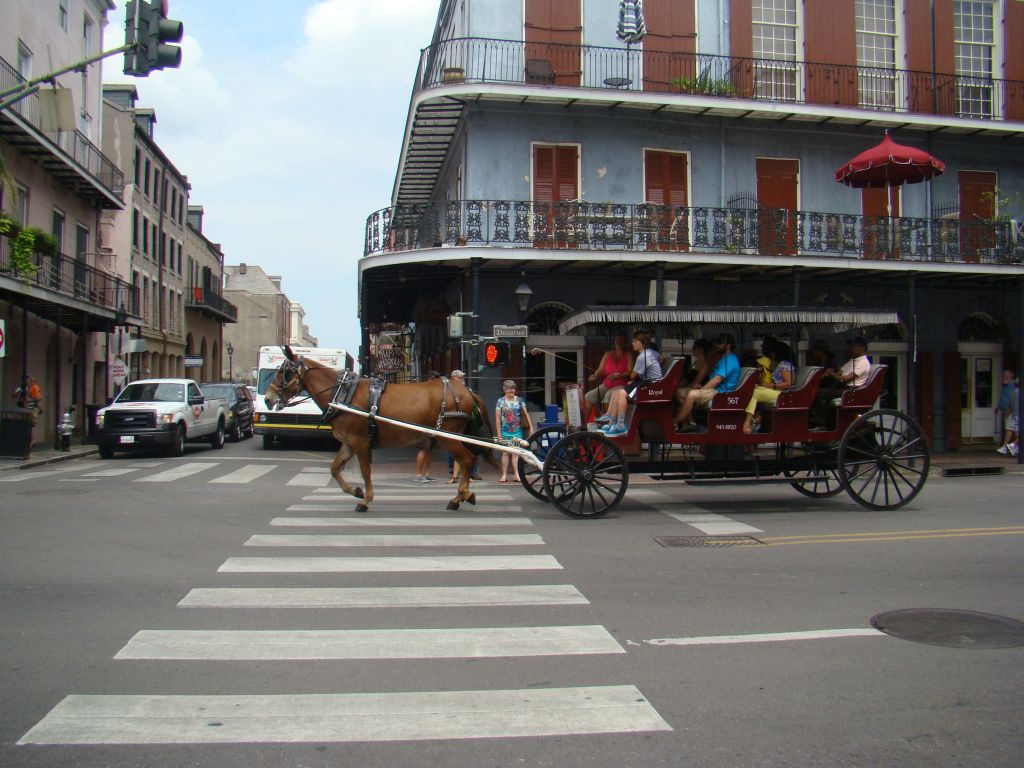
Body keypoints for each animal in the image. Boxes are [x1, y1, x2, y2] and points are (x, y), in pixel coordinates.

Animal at [264, 348, 495, 512]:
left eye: (283, 371)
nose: (268, 399)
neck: (342, 394)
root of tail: (466, 391)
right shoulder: (348, 443)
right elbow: (334, 468)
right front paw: (355, 491)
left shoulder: (360, 441)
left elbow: (366, 471)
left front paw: (365, 499)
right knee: (468, 460)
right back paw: (462, 496)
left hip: (449, 436)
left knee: (467, 460)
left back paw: (460, 495)